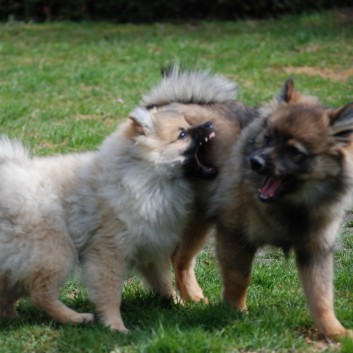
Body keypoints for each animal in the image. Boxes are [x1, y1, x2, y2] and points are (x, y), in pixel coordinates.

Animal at [0, 101, 214, 330]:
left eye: (188, 125)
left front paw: (179, 304)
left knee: (10, 288)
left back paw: (11, 316)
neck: (143, 174)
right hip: (56, 251)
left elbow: (163, 282)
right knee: (41, 294)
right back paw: (75, 318)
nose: (210, 123)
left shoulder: (151, 246)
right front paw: (115, 325)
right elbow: (110, 294)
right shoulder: (108, 252)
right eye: (182, 134)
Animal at [209, 80, 352, 338]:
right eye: (268, 138)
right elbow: (238, 278)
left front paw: (335, 331)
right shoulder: (235, 234)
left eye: (294, 151)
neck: (292, 205)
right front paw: (236, 311)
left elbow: (321, 295)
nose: (254, 161)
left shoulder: (315, 249)